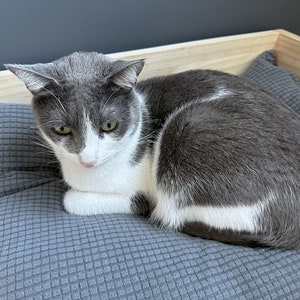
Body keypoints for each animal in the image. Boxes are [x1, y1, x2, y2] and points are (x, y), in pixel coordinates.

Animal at [5, 52, 300, 250]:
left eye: (109, 125)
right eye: (62, 129)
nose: (87, 160)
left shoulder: (143, 192)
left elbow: (74, 201)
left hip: (190, 128)